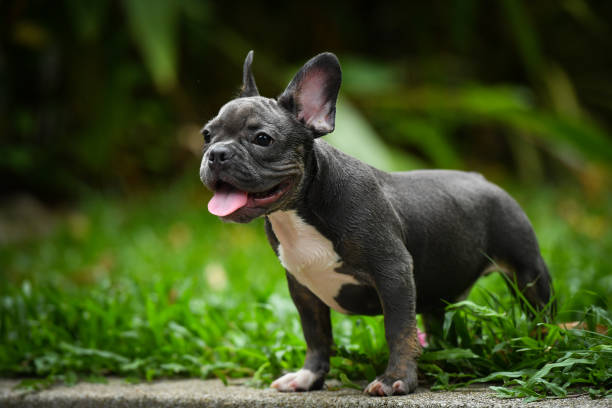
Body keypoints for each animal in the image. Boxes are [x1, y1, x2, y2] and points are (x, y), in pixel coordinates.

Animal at [201, 50, 556, 396]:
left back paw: (546, 347)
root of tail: (484, 179)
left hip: (527, 272)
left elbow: (398, 330)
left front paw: (395, 379)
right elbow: (316, 335)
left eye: (262, 139)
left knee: (540, 312)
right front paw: (308, 376)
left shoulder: (394, 273)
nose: (216, 153)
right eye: (206, 135)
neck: (301, 209)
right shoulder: (302, 289)